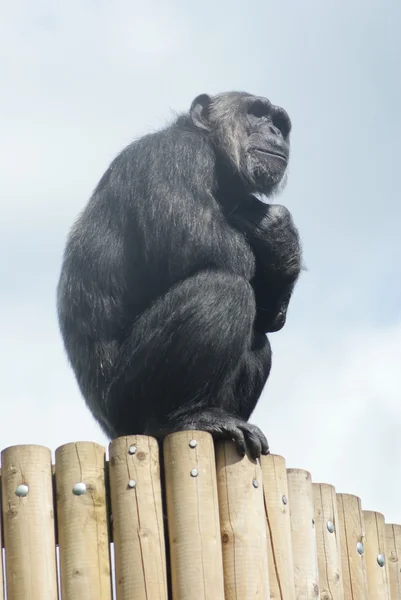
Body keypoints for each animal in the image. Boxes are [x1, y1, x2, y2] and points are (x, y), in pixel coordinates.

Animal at [55, 91, 300, 460]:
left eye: (280, 124)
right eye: (256, 112)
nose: (273, 130)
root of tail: (113, 433)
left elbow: (271, 319)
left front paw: (278, 238)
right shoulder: (173, 157)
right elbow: (210, 247)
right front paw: (277, 226)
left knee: (259, 336)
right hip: (129, 399)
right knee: (223, 289)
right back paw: (187, 417)